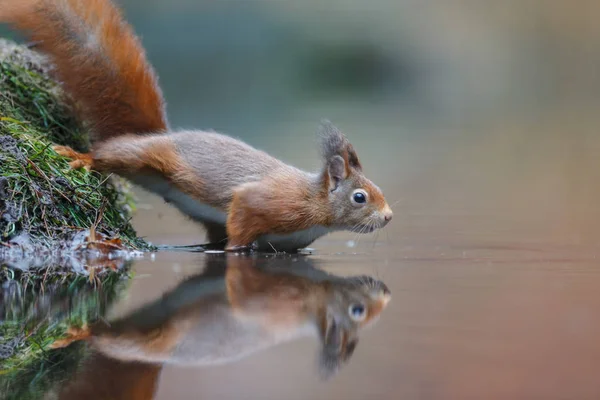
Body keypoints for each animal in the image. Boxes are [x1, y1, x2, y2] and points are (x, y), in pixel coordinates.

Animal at [0, 0, 394, 252]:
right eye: (360, 197)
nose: (389, 217)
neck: (316, 206)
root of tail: (160, 135)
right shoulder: (271, 203)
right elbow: (242, 218)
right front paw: (235, 249)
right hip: (144, 157)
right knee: (111, 154)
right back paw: (81, 157)